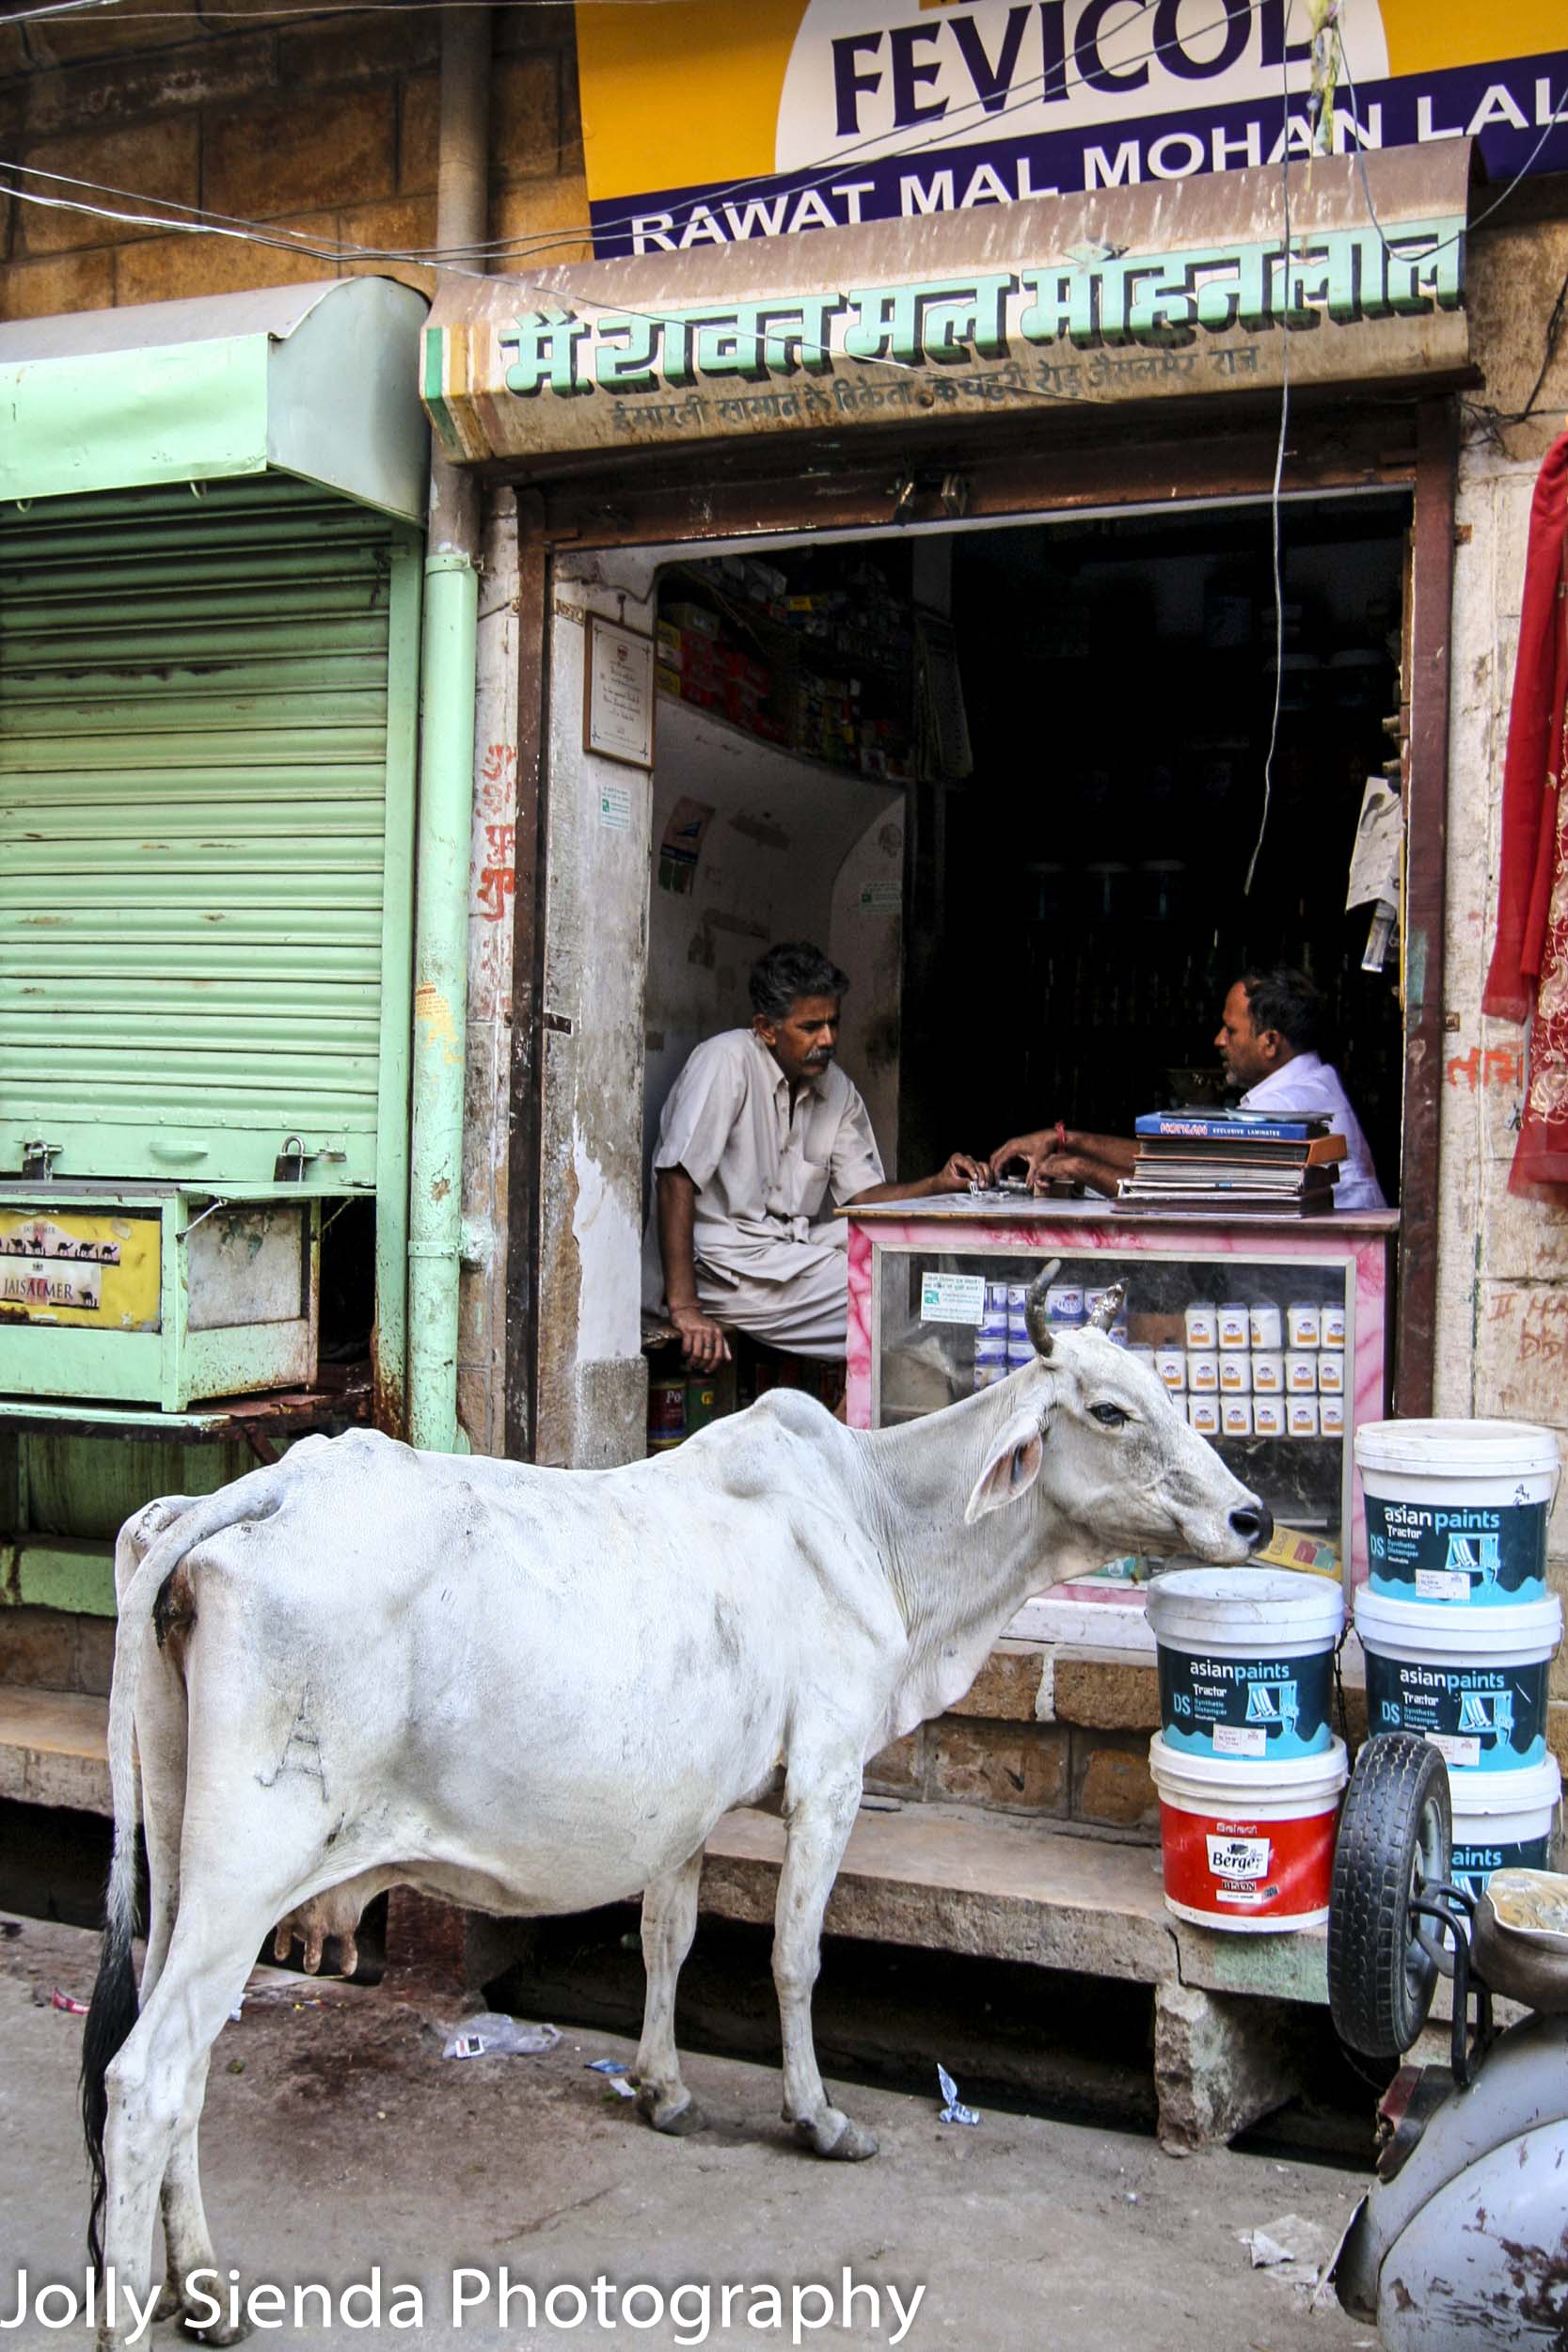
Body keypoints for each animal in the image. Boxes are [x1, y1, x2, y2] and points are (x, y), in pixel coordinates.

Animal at [79, 1279, 1269, 2343]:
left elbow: (666, 1936)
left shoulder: (684, 1809)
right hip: (245, 1871)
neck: (882, 1525)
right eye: (1109, 1410)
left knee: (183, 2068)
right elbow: (792, 1958)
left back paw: (205, 2292)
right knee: (145, 2079)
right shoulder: (828, 1778)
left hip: (182, 1859)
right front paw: (817, 2115)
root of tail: (252, 1494)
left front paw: (661, 2089)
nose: (1251, 1517)